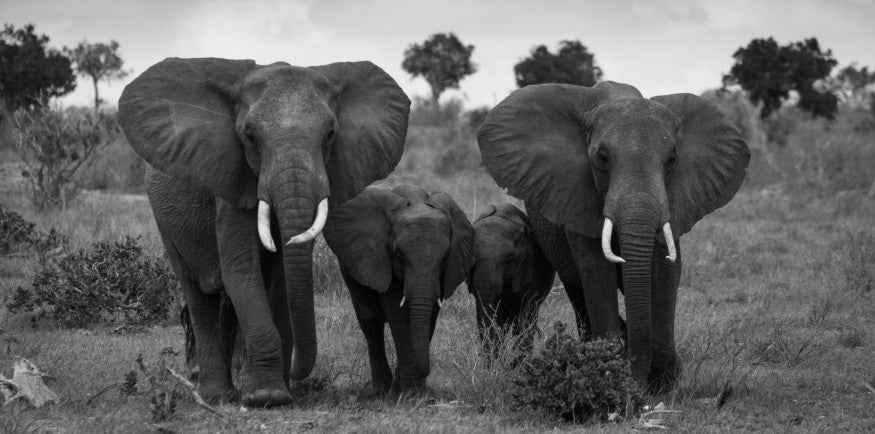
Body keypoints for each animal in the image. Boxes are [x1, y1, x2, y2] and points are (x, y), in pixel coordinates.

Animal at [115, 57, 410, 406]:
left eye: (330, 134)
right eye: (250, 135)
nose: (296, 371)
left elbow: (280, 279)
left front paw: (277, 390)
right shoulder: (232, 179)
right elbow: (242, 272)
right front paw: (266, 397)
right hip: (166, 222)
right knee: (199, 294)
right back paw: (216, 395)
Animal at [324, 185, 476, 396]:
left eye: (445, 258)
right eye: (399, 256)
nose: (426, 371)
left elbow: (429, 317)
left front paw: (414, 395)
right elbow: (399, 317)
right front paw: (411, 396)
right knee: (369, 321)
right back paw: (381, 391)